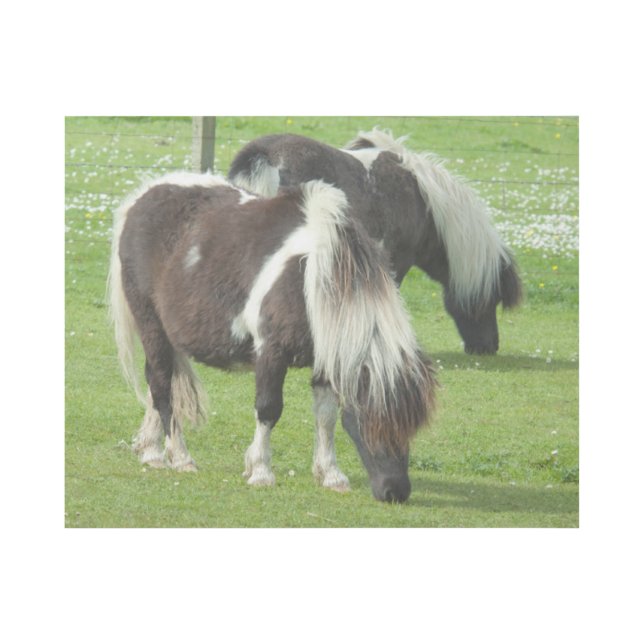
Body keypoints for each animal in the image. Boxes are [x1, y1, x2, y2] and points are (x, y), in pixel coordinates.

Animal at [108, 172, 437, 503]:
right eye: (370, 421)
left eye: (413, 427)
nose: (395, 491)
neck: (311, 277)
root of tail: (142, 198)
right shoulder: (271, 351)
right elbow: (268, 409)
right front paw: (261, 471)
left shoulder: (327, 358)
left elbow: (326, 415)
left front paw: (331, 475)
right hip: (151, 323)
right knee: (161, 384)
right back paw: (179, 456)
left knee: (159, 384)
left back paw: (151, 450)